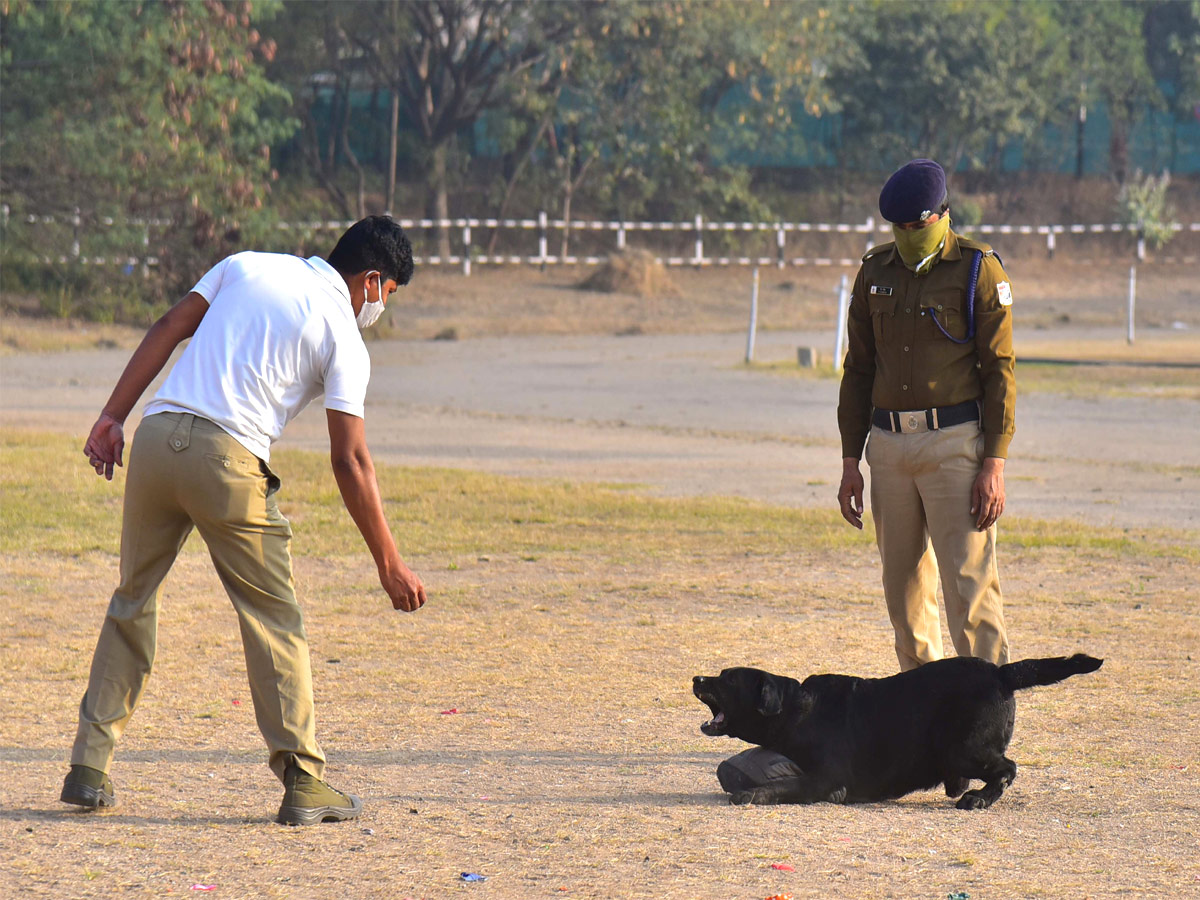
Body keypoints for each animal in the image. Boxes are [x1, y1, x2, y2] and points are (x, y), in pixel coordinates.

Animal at [691, 657, 1099, 811]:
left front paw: (750, 795)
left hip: (960, 748)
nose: (696, 677)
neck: (799, 710)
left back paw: (979, 799)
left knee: (1007, 768)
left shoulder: (826, 779)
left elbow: (782, 785)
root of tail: (1001, 672)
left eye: (727, 679)